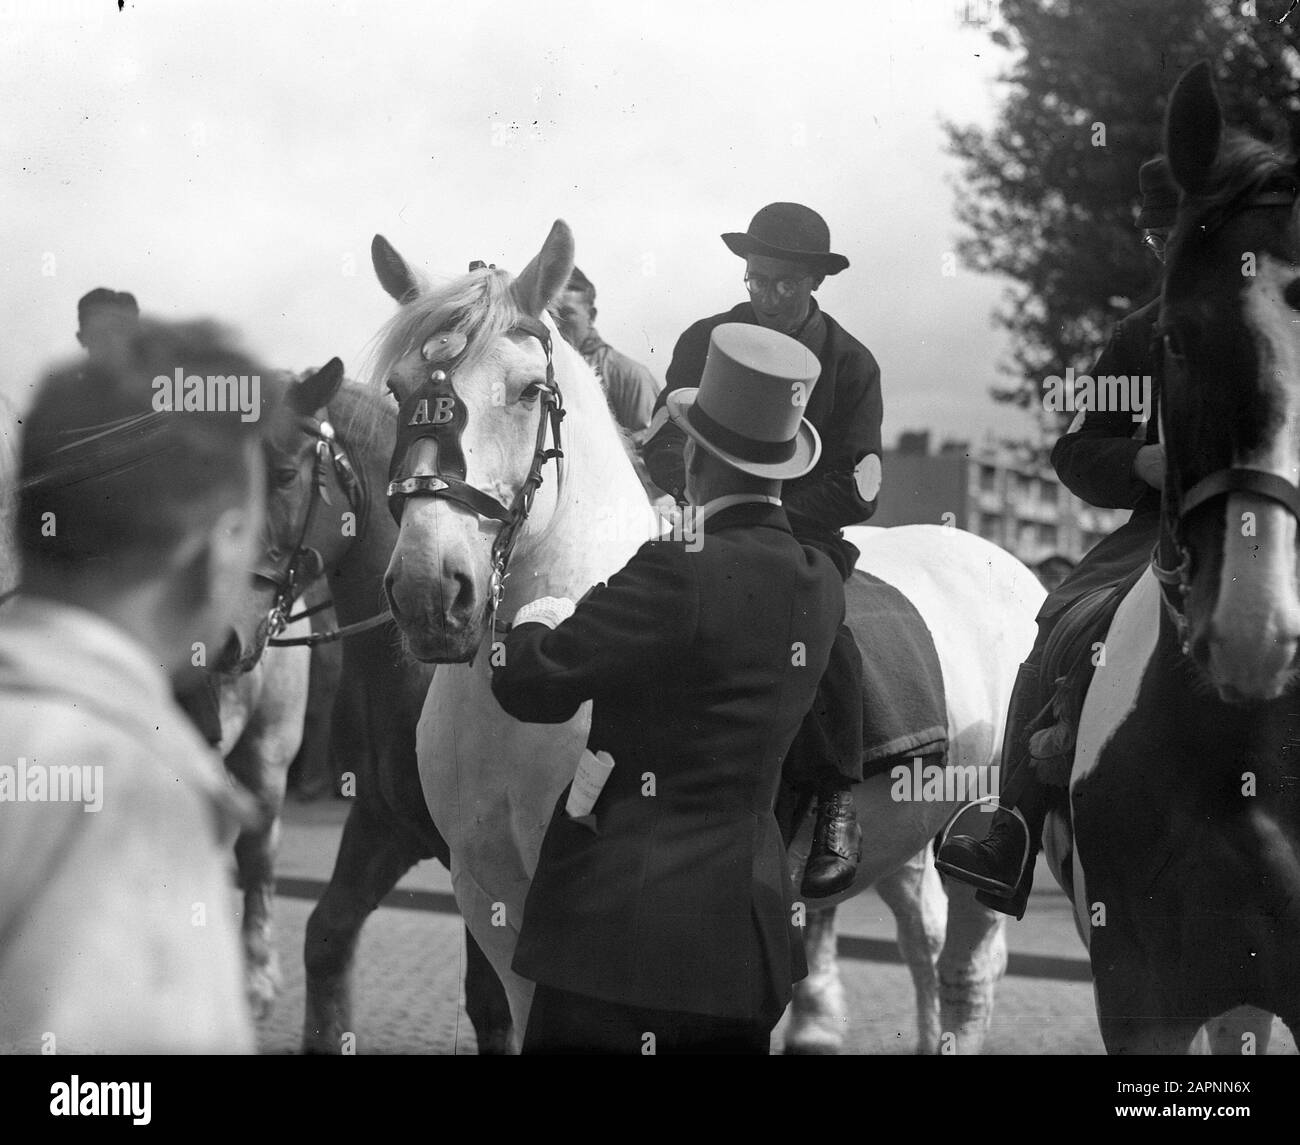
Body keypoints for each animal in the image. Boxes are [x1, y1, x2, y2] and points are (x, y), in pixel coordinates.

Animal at [371, 218, 1040, 1050]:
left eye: (528, 390)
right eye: (399, 391)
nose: (430, 590)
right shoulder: (490, 902)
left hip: (977, 840)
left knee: (966, 974)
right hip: (910, 838)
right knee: (924, 943)